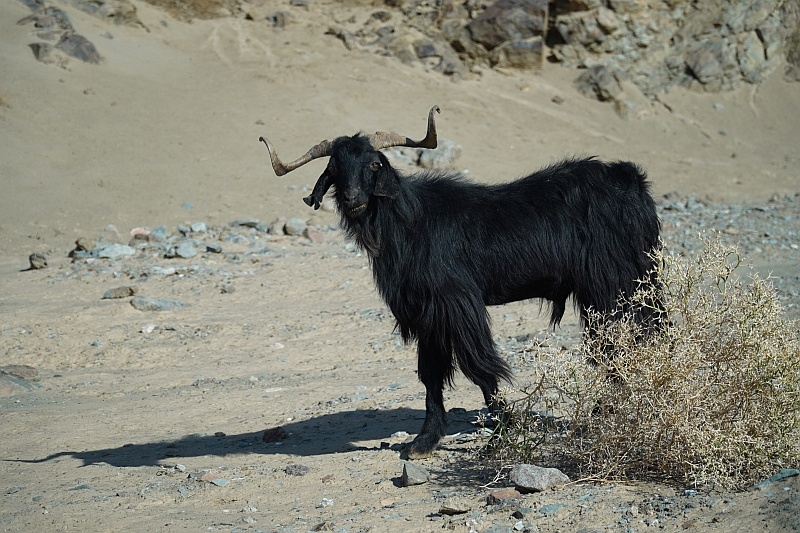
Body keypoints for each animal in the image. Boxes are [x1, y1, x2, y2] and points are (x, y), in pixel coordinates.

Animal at [259, 106, 661, 459]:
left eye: (374, 163)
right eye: (334, 168)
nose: (353, 199)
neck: (410, 222)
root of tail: (632, 183)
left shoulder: (457, 303)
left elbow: (480, 367)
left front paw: (501, 431)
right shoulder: (426, 314)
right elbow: (431, 375)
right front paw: (424, 441)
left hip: (613, 286)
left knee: (624, 341)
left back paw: (606, 413)